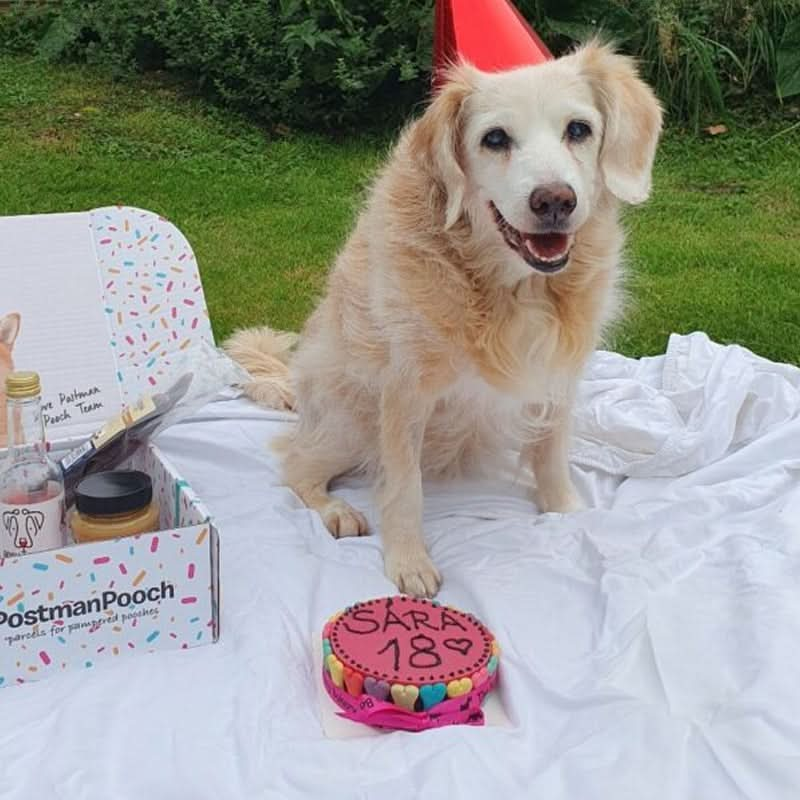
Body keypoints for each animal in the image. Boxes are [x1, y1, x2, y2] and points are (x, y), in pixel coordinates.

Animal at [225, 43, 664, 592]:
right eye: (495, 138)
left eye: (578, 129)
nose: (555, 201)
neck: (511, 290)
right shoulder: (403, 392)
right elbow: (403, 487)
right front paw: (409, 561)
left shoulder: (556, 376)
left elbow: (551, 455)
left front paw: (565, 512)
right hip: (351, 421)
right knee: (295, 464)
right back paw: (335, 510)